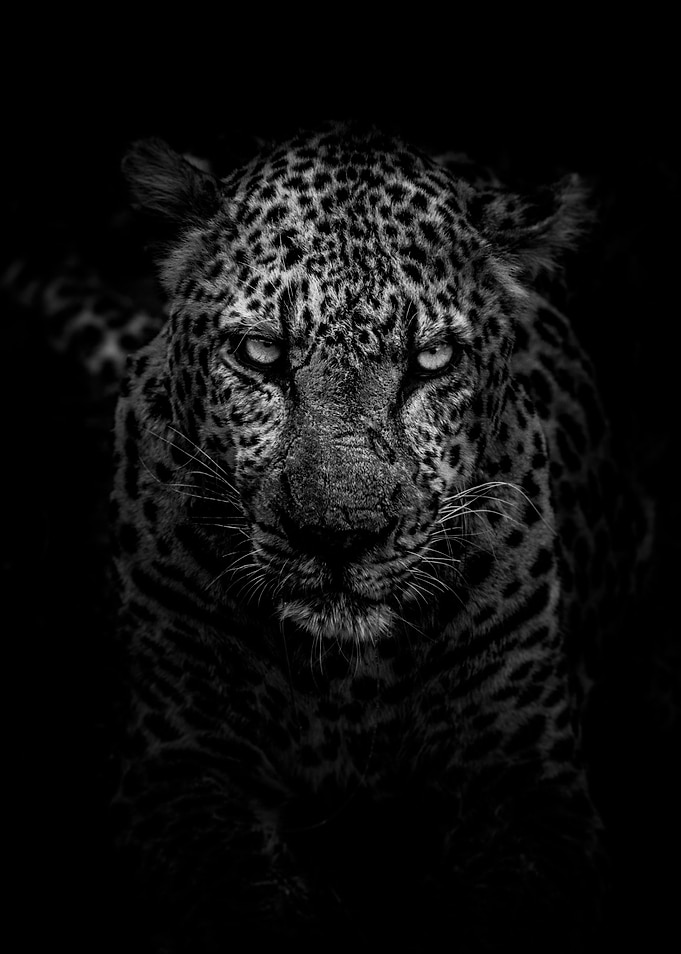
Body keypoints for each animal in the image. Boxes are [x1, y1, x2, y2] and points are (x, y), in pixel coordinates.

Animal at [96, 122, 653, 951]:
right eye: (260, 354)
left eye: (432, 360)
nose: (337, 536)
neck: (344, 680)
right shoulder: (180, 767)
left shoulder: (526, 783)